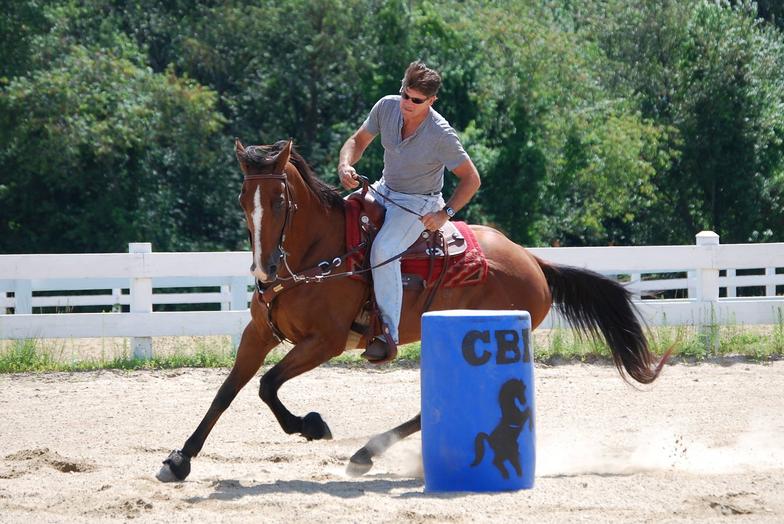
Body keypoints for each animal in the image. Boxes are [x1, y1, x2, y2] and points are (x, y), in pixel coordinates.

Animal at [158, 139, 668, 484]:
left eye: (280, 200)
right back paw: (368, 453)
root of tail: (533, 262)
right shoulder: (258, 333)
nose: (263, 270)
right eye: (245, 201)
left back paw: (366, 453)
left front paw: (311, 426)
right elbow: (228, 391)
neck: (316, 255)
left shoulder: (324, 342)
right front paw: (179, 459)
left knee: (432, 409)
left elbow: (267, 385)